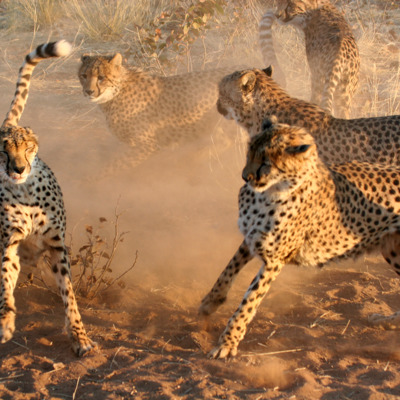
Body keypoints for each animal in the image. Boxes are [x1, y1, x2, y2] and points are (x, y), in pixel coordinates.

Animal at [0, 41, 95, 356]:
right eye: (3, 150)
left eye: (27, 147)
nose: (18, 168)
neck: (25, 191)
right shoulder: (8, 244)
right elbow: (4, 281)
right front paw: (6, 322)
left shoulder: (55, 245)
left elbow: (69, 294)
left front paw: (79, 335)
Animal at [78, 54, 236, 166]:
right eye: (84, 76)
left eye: (101, 77)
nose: (88, 91)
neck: (114, 93)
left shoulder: (146, 145)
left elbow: (111, 167)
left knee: (225, 142)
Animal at [200, 117, 400, 359]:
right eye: (250, 152)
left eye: (267, 163)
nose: (245, 177)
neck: (272, 190)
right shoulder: (250, 240)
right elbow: (227, 271)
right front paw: (210, 302)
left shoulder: (274, 260)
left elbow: (249, 301)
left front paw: (227, 343)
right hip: (392, 249)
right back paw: (386, 320)